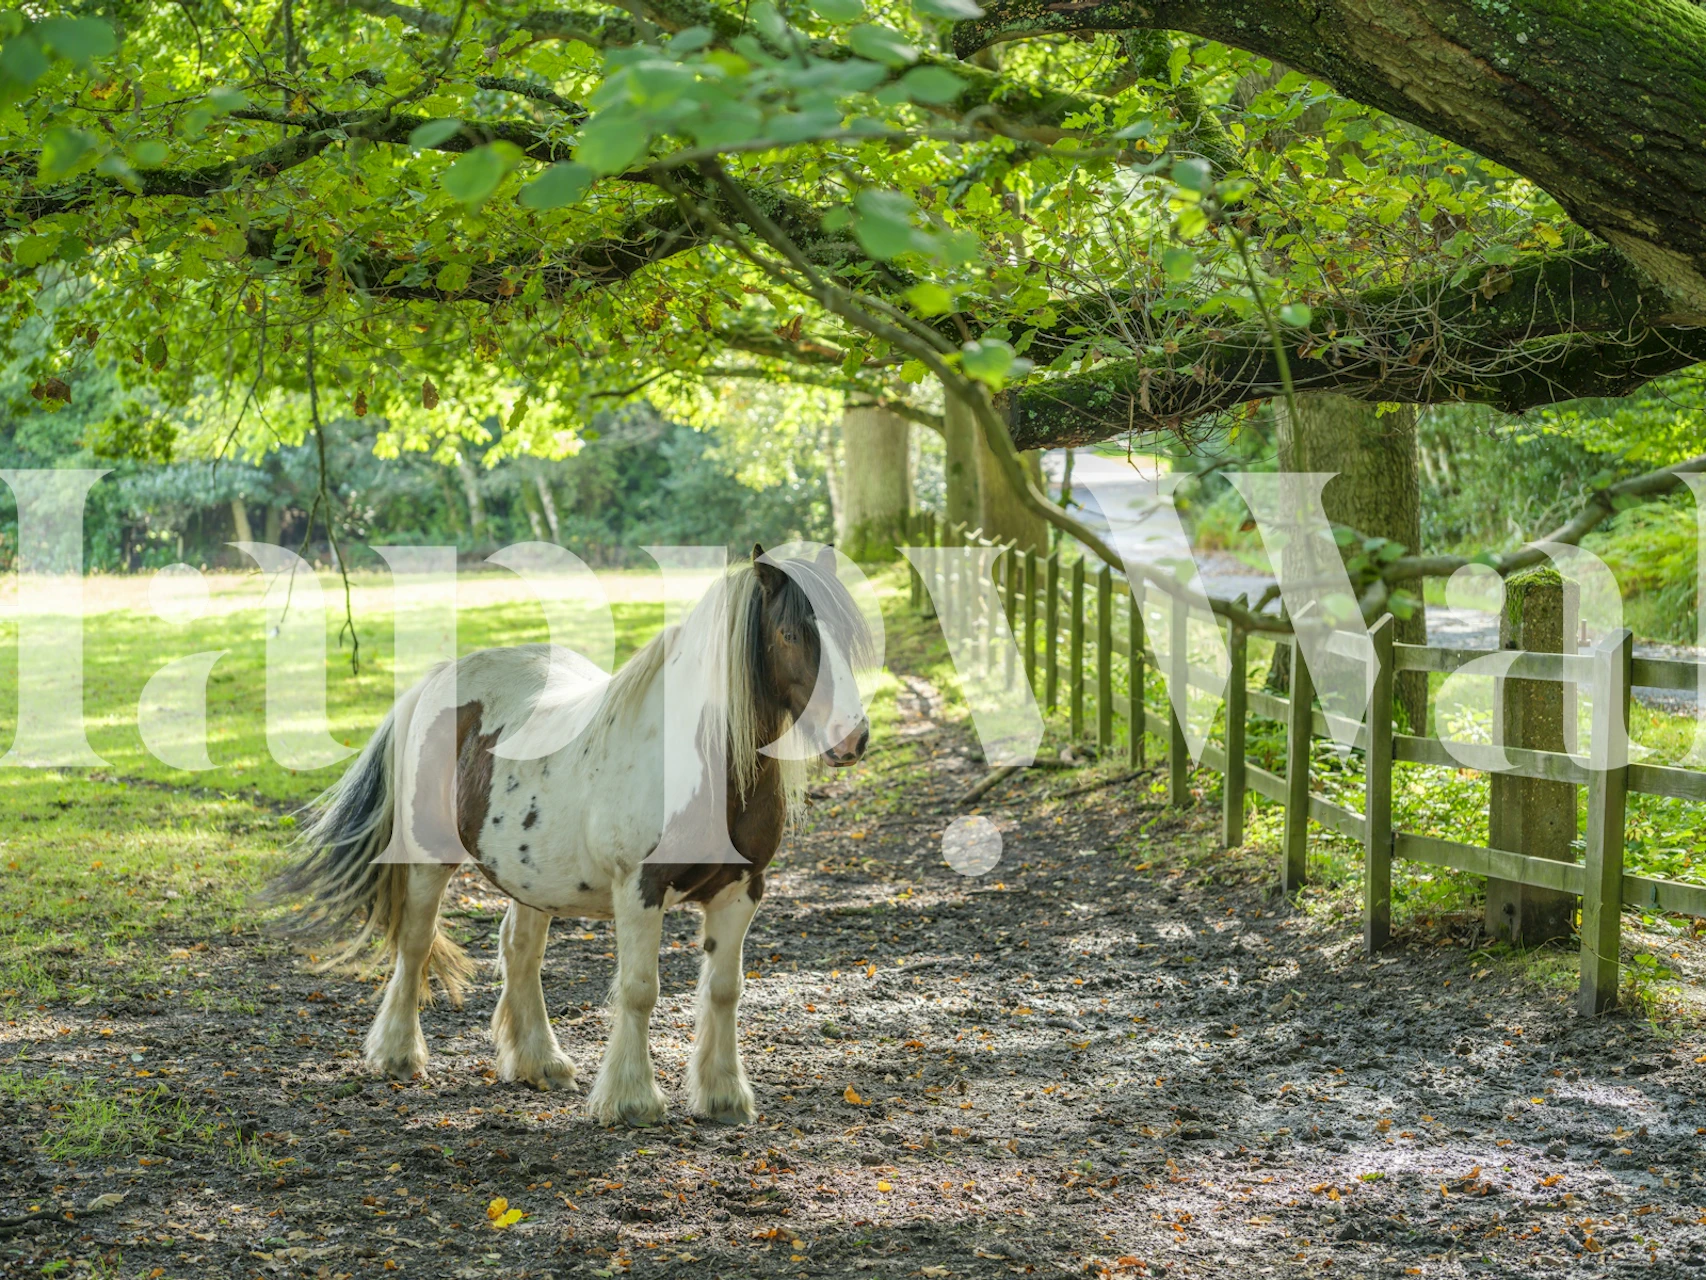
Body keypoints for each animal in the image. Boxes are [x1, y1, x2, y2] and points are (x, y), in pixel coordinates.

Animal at [272, 544, 873, 1125]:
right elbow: (639, 990)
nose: (854, 738)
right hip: (428, 860)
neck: (701, 761)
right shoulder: (640, 888)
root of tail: (442, 675)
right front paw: (632, 1101)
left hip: (532, 880)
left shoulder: (742, 889)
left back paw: (541, 1062)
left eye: (847, 639)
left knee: (520, 952)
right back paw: (398, 1055)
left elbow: (724, 991)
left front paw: (724, 1097)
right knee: (416, 945)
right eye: (790, 634)